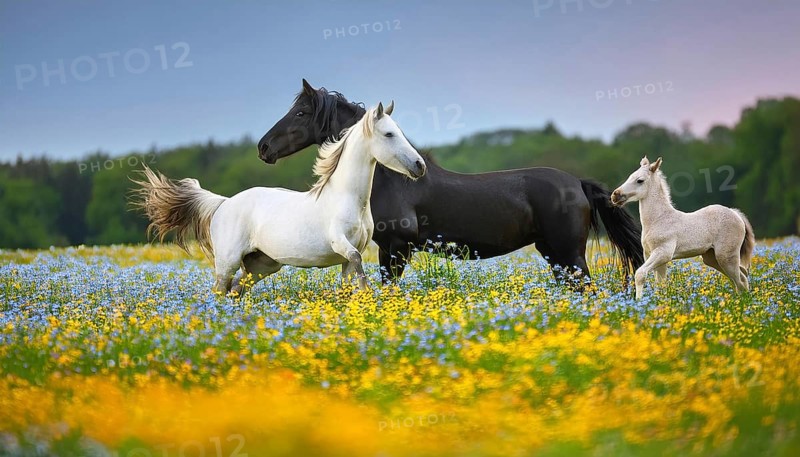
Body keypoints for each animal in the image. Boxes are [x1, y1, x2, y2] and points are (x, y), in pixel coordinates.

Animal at [133, 103, 426, 295]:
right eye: (389, 134)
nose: (419, 165)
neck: (348, 198)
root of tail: (224, 203)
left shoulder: (348, 257)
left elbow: (351, 276)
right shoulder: (341, 243)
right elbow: (358, 265)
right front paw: (367, 296)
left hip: (262, 265)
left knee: (236, 290)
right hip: (227, 261)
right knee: (220, 291)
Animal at [256, 79, 644, 288]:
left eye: (301, 113)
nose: (263, 148)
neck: (394, 179)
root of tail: (577, 183)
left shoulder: (394, 249)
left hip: (570, 254)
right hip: (554, 253)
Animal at [611, 156, 755, 299]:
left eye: (640, 180)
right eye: (630, 176)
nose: (615, 195)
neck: (658, 219)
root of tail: (735, 214)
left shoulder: (663, 253)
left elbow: (640, 274)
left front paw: (639, 302)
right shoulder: (653, 257)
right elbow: (660, 284)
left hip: (726, 257)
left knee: (740, 280)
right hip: (712, 258)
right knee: (741, 276)